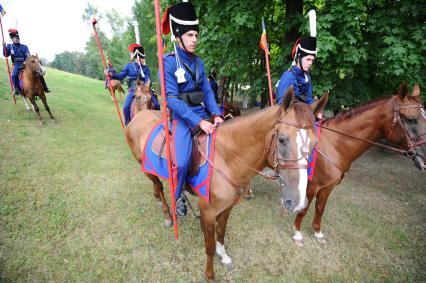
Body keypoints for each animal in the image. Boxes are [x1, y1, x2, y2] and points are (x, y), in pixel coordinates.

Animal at [125, 82, 328, 282]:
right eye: (282, 139)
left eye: (315, 144)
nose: (298, 202)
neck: (226, 158)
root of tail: (141, 115)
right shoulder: (207, 212)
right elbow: (209, 247)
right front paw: (209, 274)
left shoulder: (227, 208)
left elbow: (221, 234)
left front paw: (224, 256)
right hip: (146, 169)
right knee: (158, 187)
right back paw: (168, 215)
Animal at [292, 82, 426, 246]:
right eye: (411, 120)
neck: (332, 144)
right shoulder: (312, 186)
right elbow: (304, 209)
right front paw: (298, 234)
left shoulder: (327, 187)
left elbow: (320, 209)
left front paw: (318, 233)